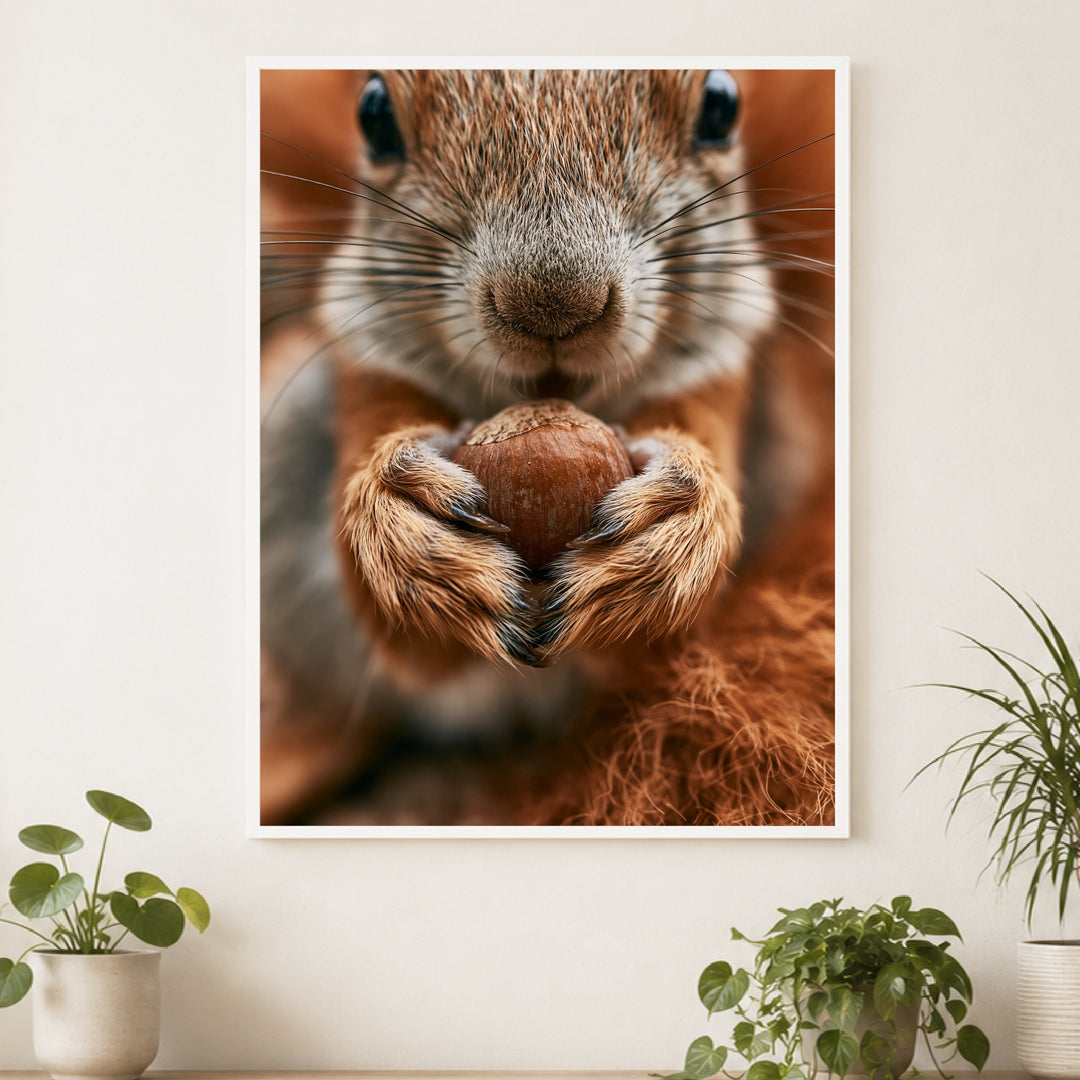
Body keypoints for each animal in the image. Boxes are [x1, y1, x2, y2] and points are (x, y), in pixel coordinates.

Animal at [259, 68, 837, 827]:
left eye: (721, 106)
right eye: (374, 115)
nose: (554, 306)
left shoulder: (724, 373)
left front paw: (672, 532)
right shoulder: (368, 368)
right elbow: (398, 627)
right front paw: (410, 533)